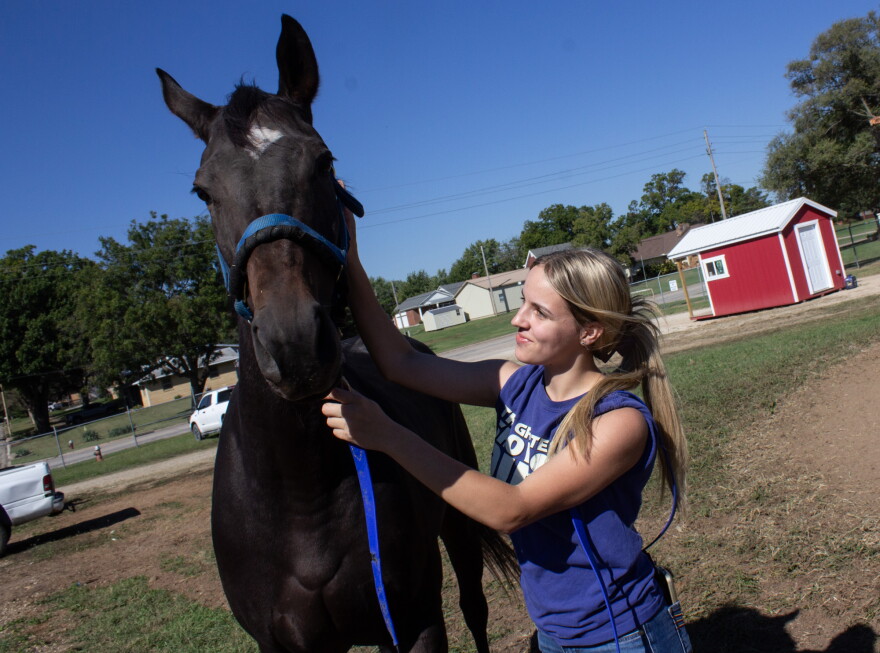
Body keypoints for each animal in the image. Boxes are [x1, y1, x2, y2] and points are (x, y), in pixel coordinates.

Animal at [157, 15, 515, 653]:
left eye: (323, 162)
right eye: (203, 190)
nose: (294, 344)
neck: (301, 492)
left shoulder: (416, 618)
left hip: (459, 533)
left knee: (474, 607)